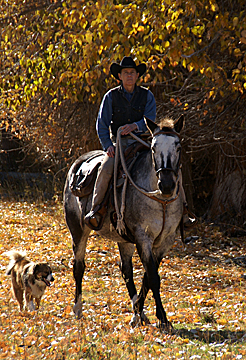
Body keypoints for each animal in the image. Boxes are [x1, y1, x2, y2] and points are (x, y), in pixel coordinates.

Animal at [63, 116, 184, 332]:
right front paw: (163, 318)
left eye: (178, 146)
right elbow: (153, 278)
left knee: (126, 270)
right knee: (78, 266)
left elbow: (147, 277)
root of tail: (77, 163)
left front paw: (139, 313)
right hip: (78, 230)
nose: (167, 185)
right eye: (153, 148)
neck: (161, 200)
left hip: (124, 239)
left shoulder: (165, 242)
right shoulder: (143, 238)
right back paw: (77, 309)